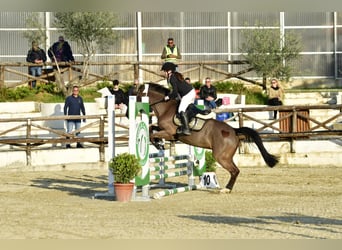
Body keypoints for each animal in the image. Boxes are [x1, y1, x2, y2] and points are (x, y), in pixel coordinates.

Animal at [136, 83, 278, 192]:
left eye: (137, 95)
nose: (135, 110)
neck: (166, 108)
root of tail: (233, 130)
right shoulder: (165, 131)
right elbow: (151, 128)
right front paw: (159, 143)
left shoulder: (169, 133)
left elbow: (151, 134)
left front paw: (158, 144)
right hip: (226, 156)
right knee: (235, 170)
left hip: (221, 156)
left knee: (235, 171)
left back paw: (226, 189)